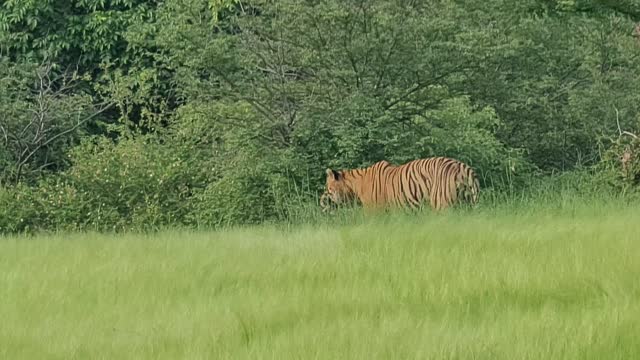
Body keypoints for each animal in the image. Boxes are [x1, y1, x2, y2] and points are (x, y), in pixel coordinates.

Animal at [322, 157, 478, 211]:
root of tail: (461, 167)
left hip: (442, 205)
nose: (324, 198)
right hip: (468, 203)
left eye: (329, 187)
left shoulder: (374, 212)